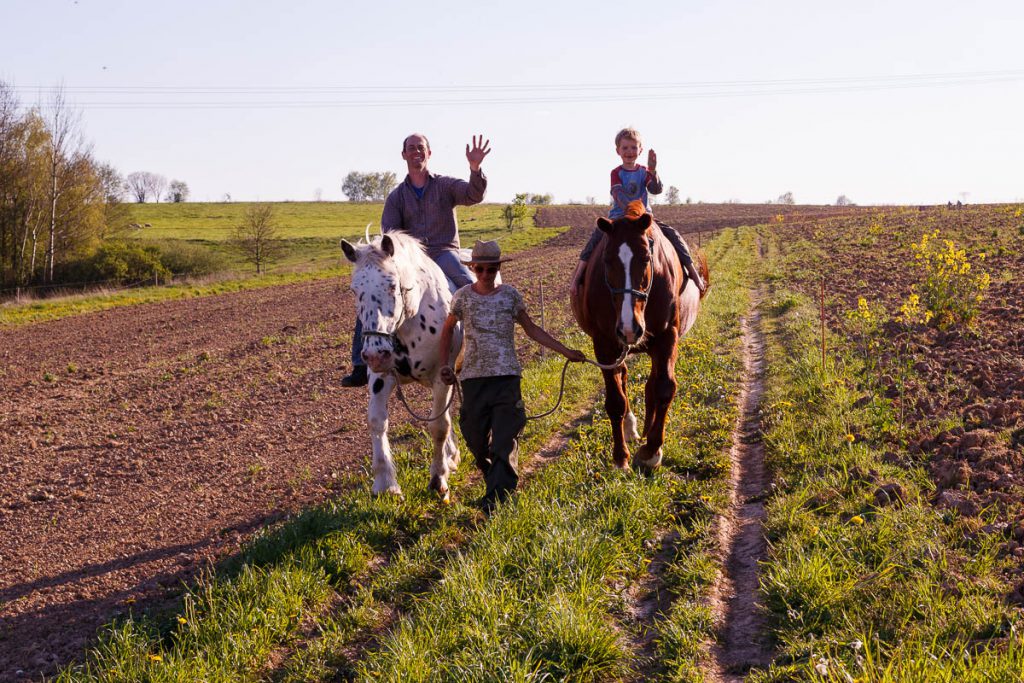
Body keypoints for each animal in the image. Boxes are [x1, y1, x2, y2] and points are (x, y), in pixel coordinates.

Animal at [339, 232, 460, 499]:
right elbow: (377, 421)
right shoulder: (380, 377)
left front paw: (438, 478)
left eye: (393, 285)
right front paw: (385, 483)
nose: (375, 354)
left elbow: (439, 425)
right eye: (354, 290)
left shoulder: (441, 377)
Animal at [573, 211, 708, 471]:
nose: (629, 328)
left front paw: (651, 451)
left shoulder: (667, 337)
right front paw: (620, 458)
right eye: (607, 260)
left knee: (651, 383)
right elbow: (615, 400)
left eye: (646, 258)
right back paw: (629, 426)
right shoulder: (604, 344)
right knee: (623, 377)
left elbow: (665, 388)